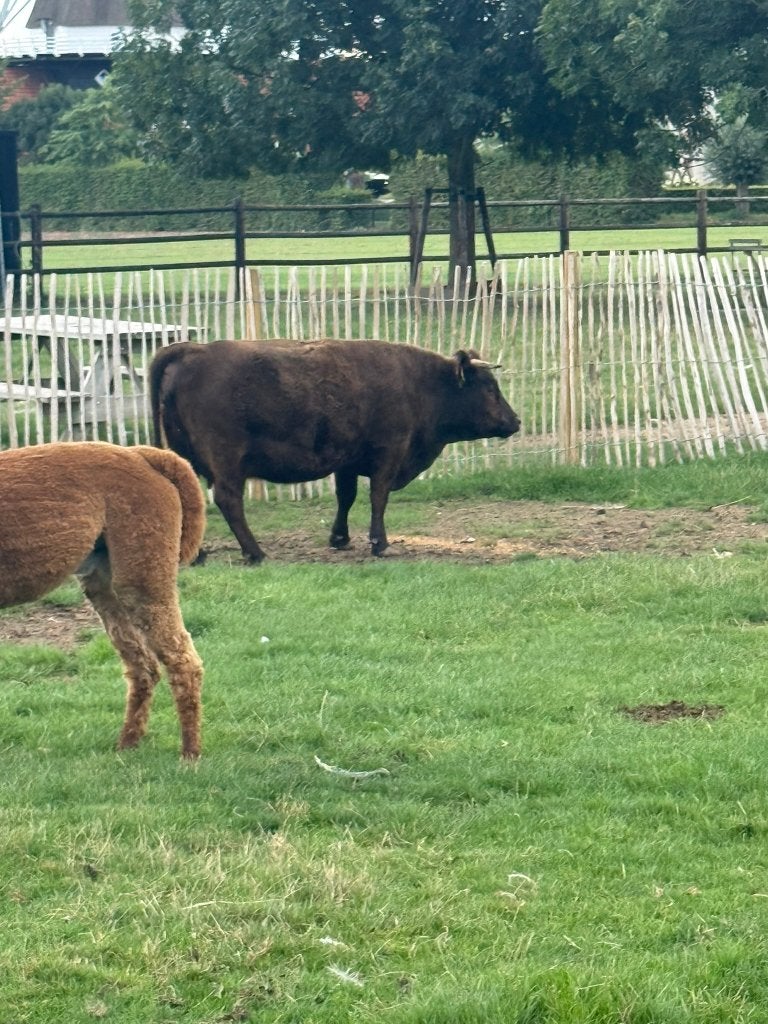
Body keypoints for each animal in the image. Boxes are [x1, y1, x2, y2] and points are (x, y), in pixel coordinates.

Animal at [149, 338, 520, 563]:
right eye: (489, 388)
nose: (515, 421)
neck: (419, 383)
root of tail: (193, 349)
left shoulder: (348, 461)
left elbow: (347, 496)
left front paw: (339, 538)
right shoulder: (389, 453)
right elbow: (378, 496)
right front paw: (379, 543)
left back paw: (197, 554)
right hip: (227, 461)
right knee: (228, 500)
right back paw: (255, 553)